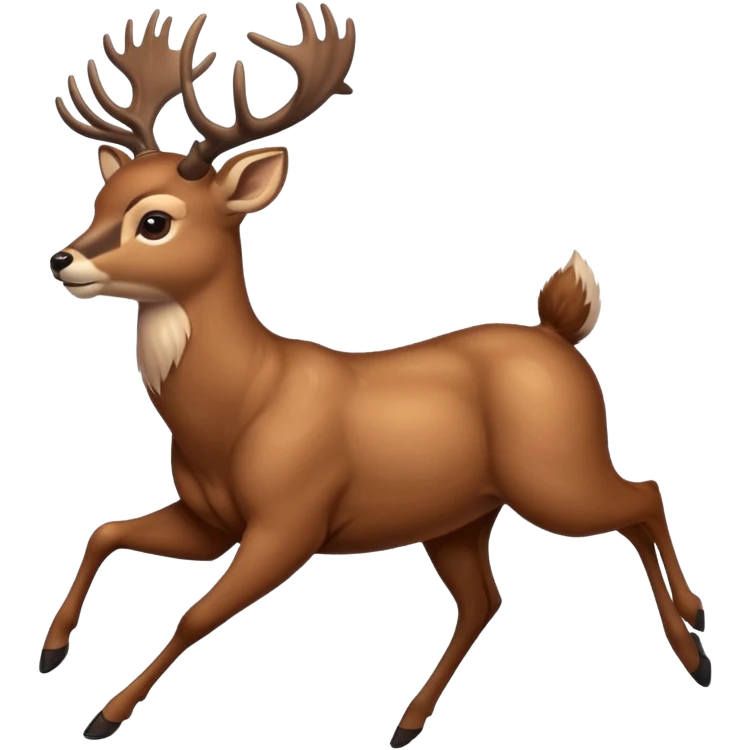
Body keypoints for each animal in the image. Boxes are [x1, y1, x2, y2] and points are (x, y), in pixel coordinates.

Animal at [44, 4, 711, 747]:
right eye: (100, 200)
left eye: (155, 220)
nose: (63, 258)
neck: (241, 403)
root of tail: (557, 333)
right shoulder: (208, 519)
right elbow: (104, 532)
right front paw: (52, 650)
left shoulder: (291, 520)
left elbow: (194, 613)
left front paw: (104, 715)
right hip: (460, 515)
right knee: (485, 597)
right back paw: (409, 722)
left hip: (555, 471)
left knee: (642, 497)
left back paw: (694, 641)